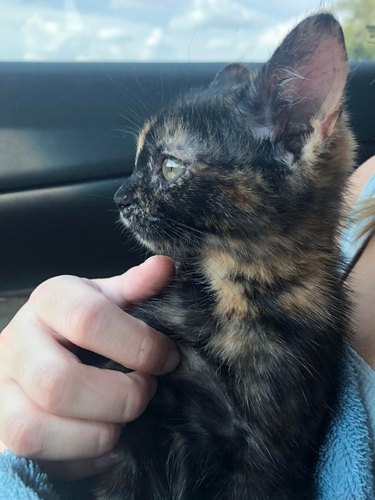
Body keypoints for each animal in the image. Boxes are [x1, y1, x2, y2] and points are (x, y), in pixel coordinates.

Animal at [95, 13, 354, 500]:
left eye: (170, 166)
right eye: (137, 160)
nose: (119, 197)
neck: (229, 293)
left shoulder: (267, 459)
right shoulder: (135, 432)